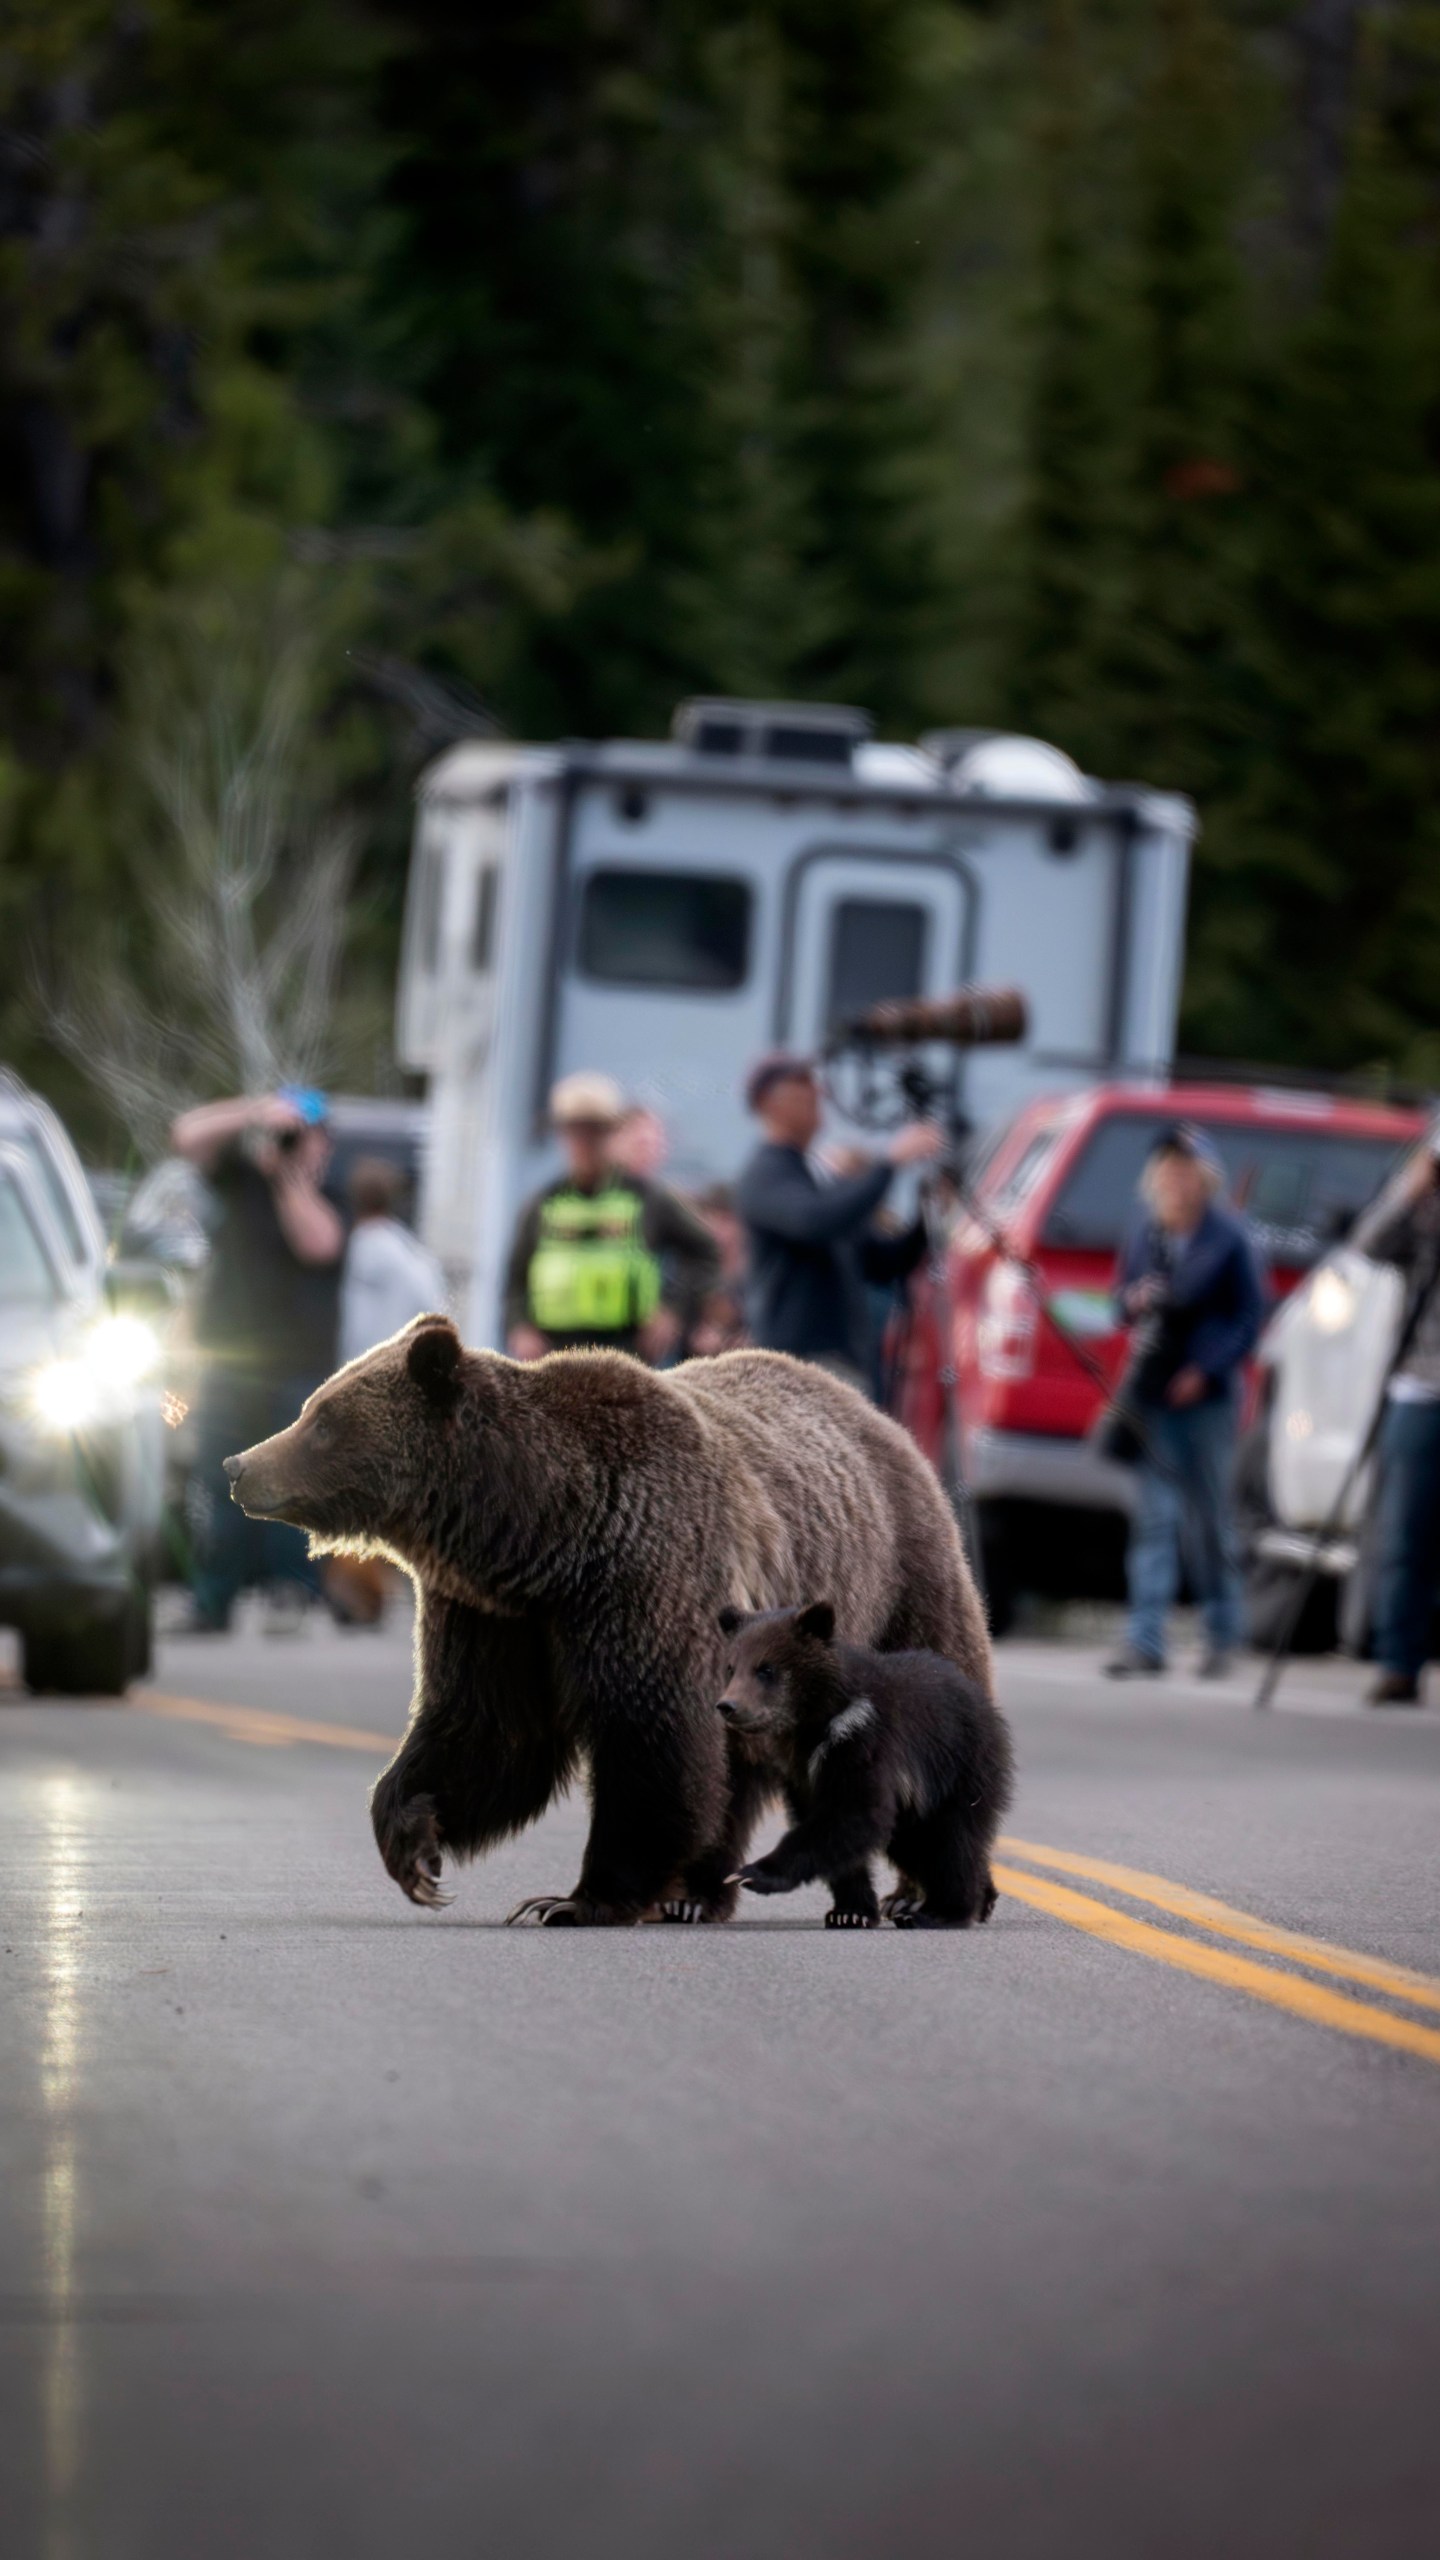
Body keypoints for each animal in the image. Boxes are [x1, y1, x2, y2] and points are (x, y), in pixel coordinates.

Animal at [712, 1587, 1009, 1925]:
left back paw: (944, 1911)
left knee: (952, 1842)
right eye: (731, 1667)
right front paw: (849, 1912)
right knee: (916, 1844)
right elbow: (829, 1825)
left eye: (766, 1669)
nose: (728, 1705)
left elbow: (855, 1812)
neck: (814, 1723)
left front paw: (750, 1873)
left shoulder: (863, 1742)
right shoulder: (799, 1770)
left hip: (961, 1768)